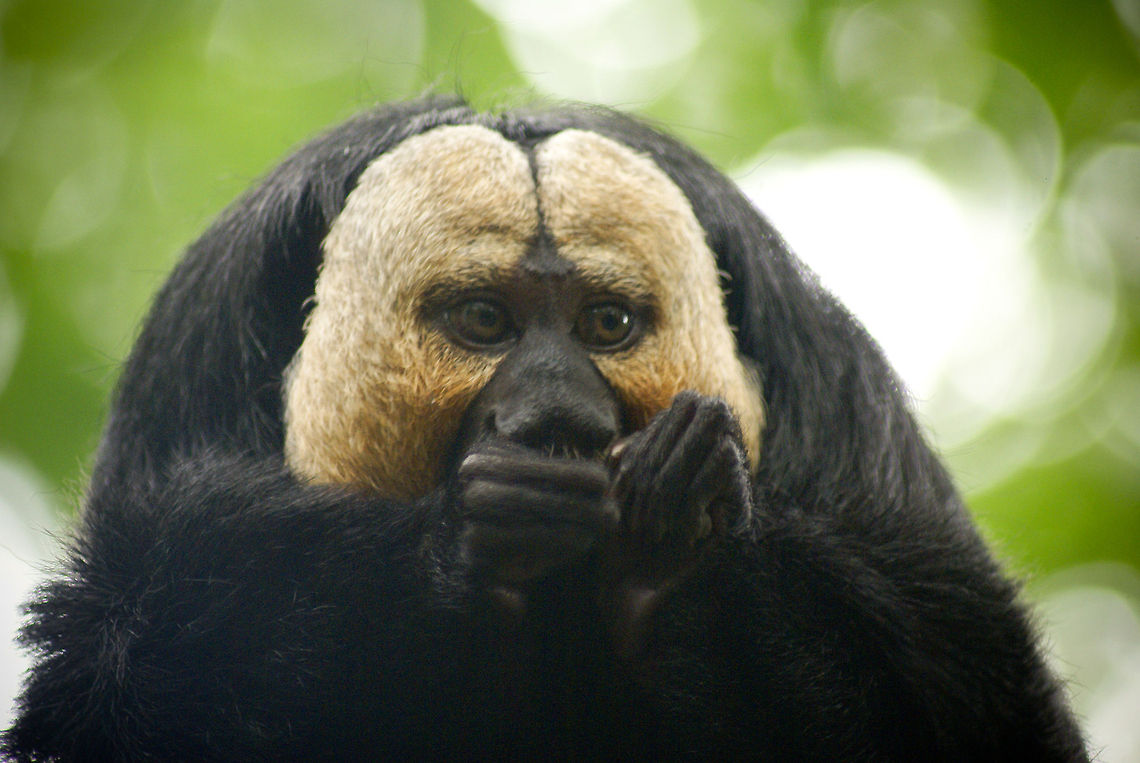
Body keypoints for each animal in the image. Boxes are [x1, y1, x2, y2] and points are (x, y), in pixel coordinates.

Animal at [3, 96, 1087, 761]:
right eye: (485, 321)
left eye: (607, 325)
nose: (556, 413)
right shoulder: (191, 378)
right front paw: (471, 542)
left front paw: (673, 536)